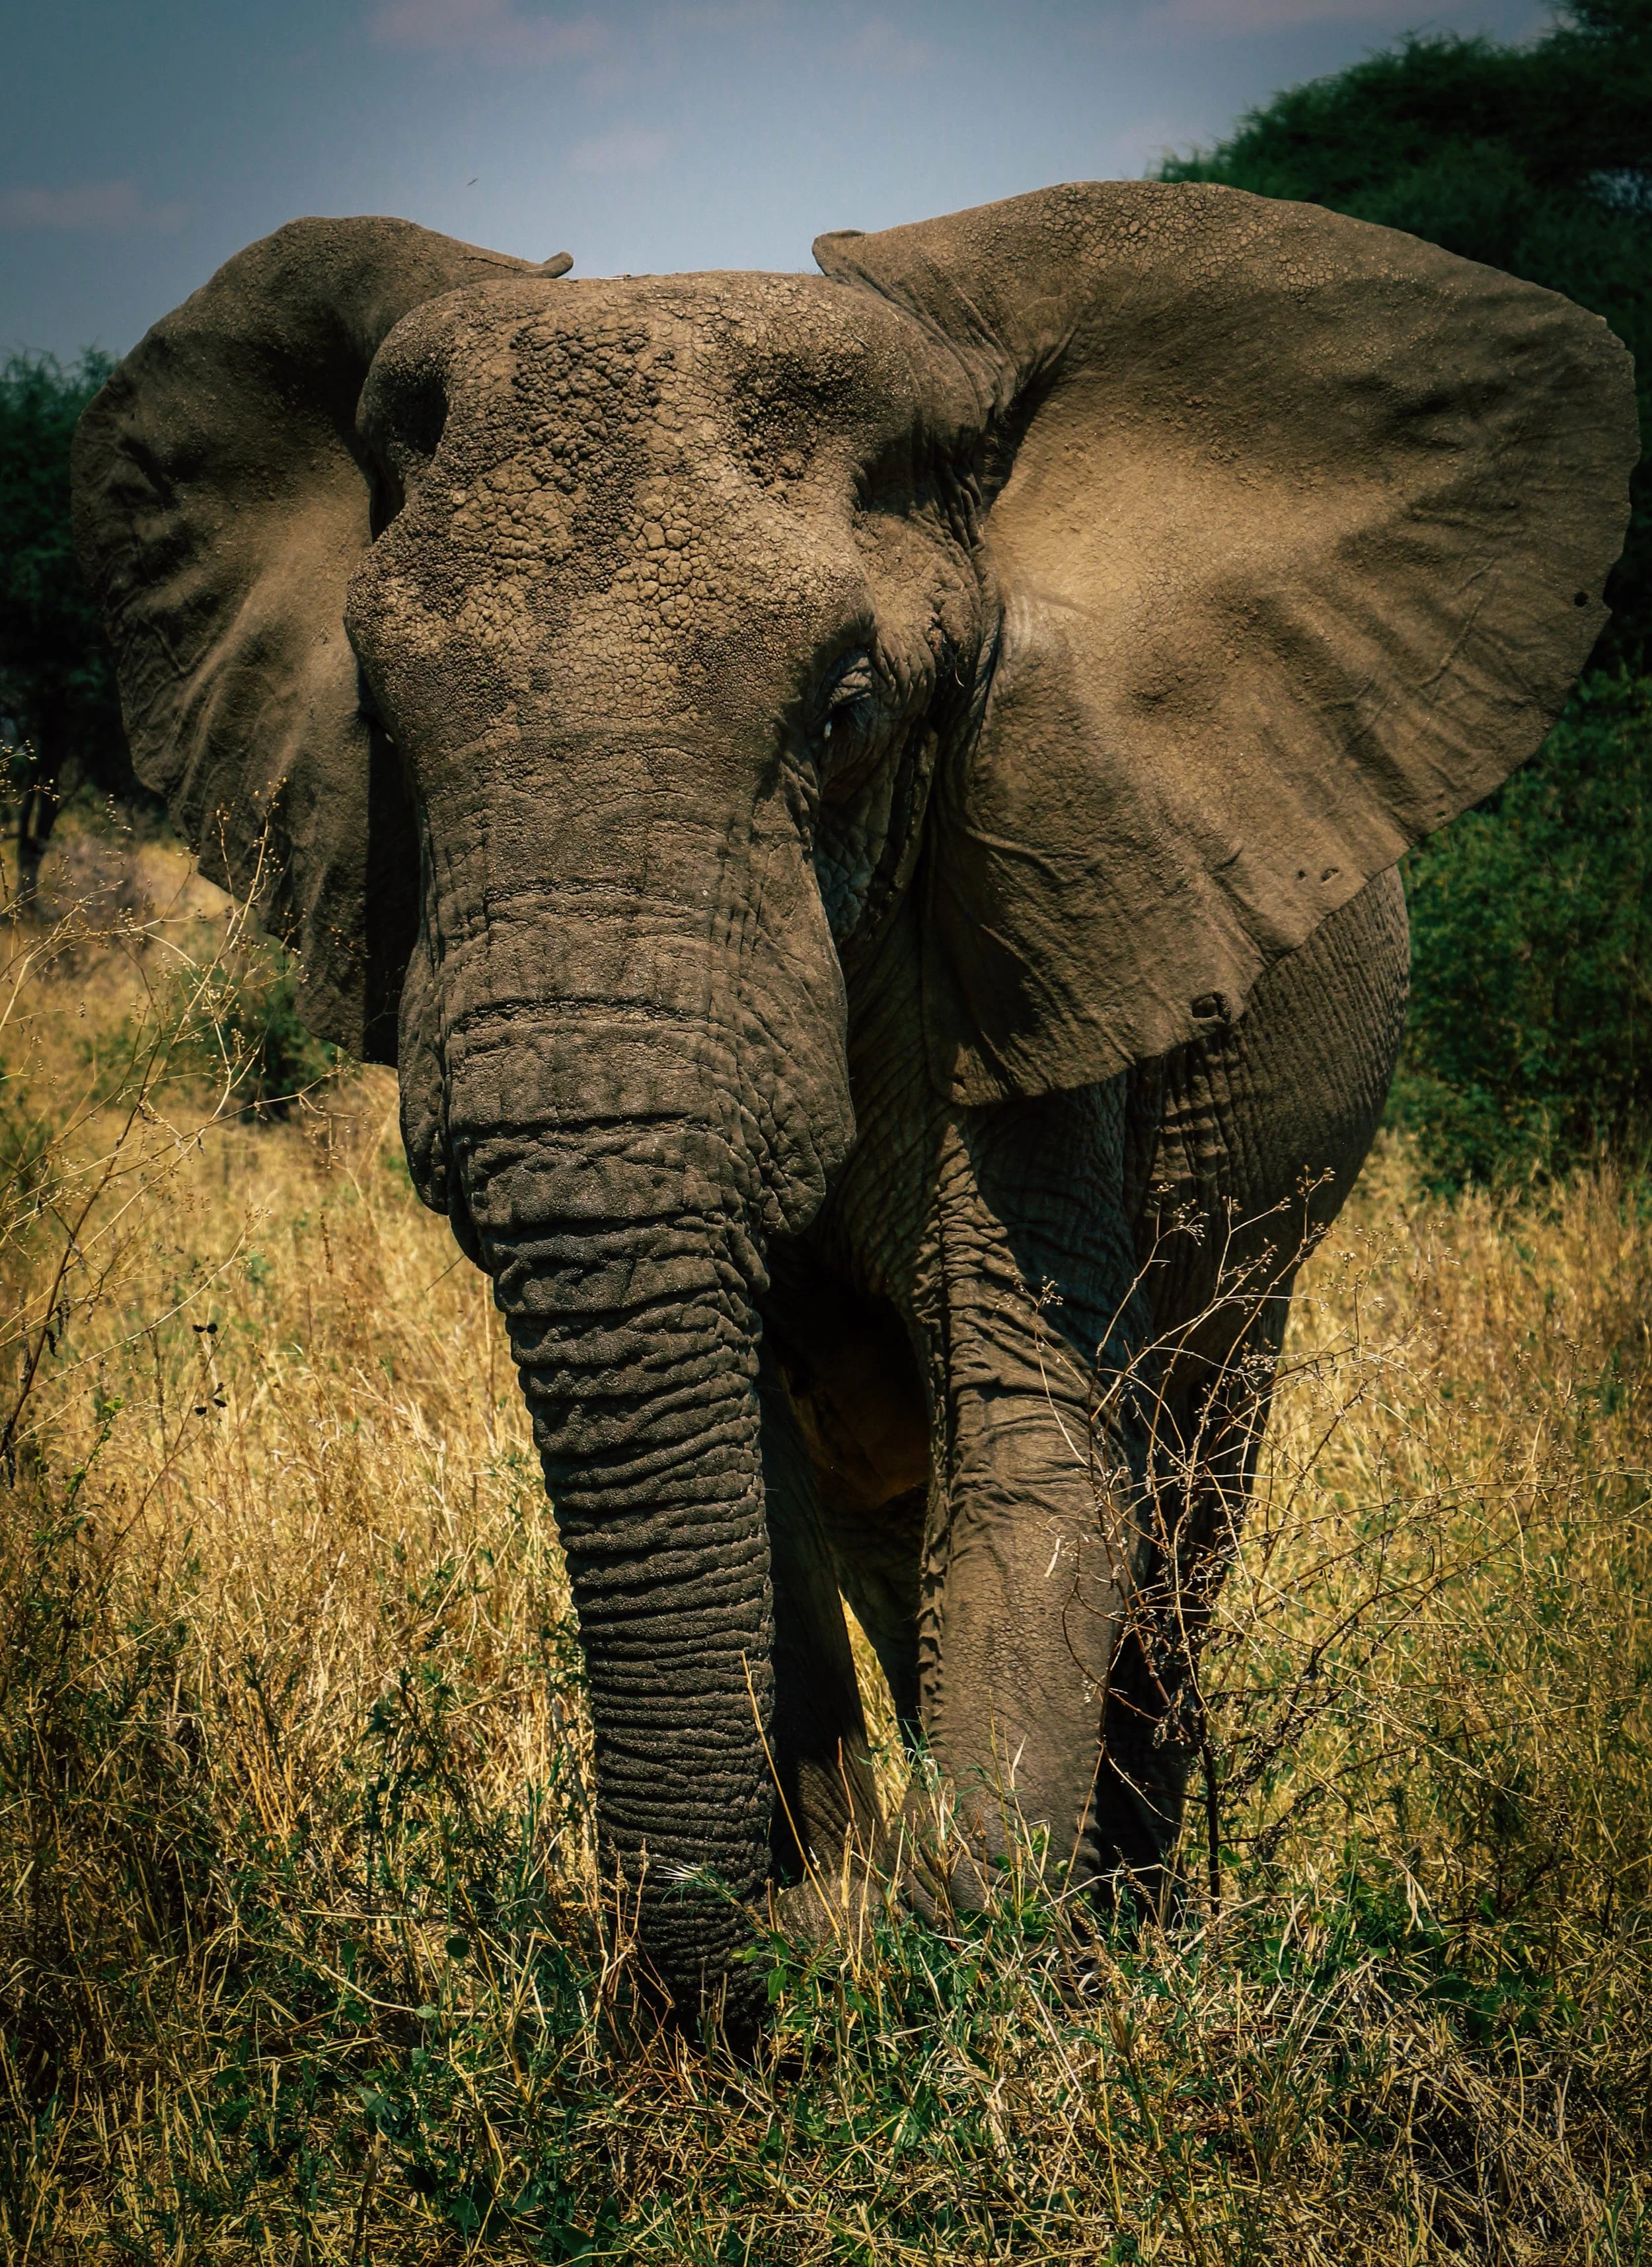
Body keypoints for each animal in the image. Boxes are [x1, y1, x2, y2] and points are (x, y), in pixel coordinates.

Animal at [72, 182, 1635, 2030]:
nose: (720, 1978)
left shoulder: (1025, 927)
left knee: (1180, 1492)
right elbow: (756, 1464)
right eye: (379, 723)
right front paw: (828, 1948)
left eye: (844, 716)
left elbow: (1039, 1432)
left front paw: (961, 1970)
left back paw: (1130, 1927)